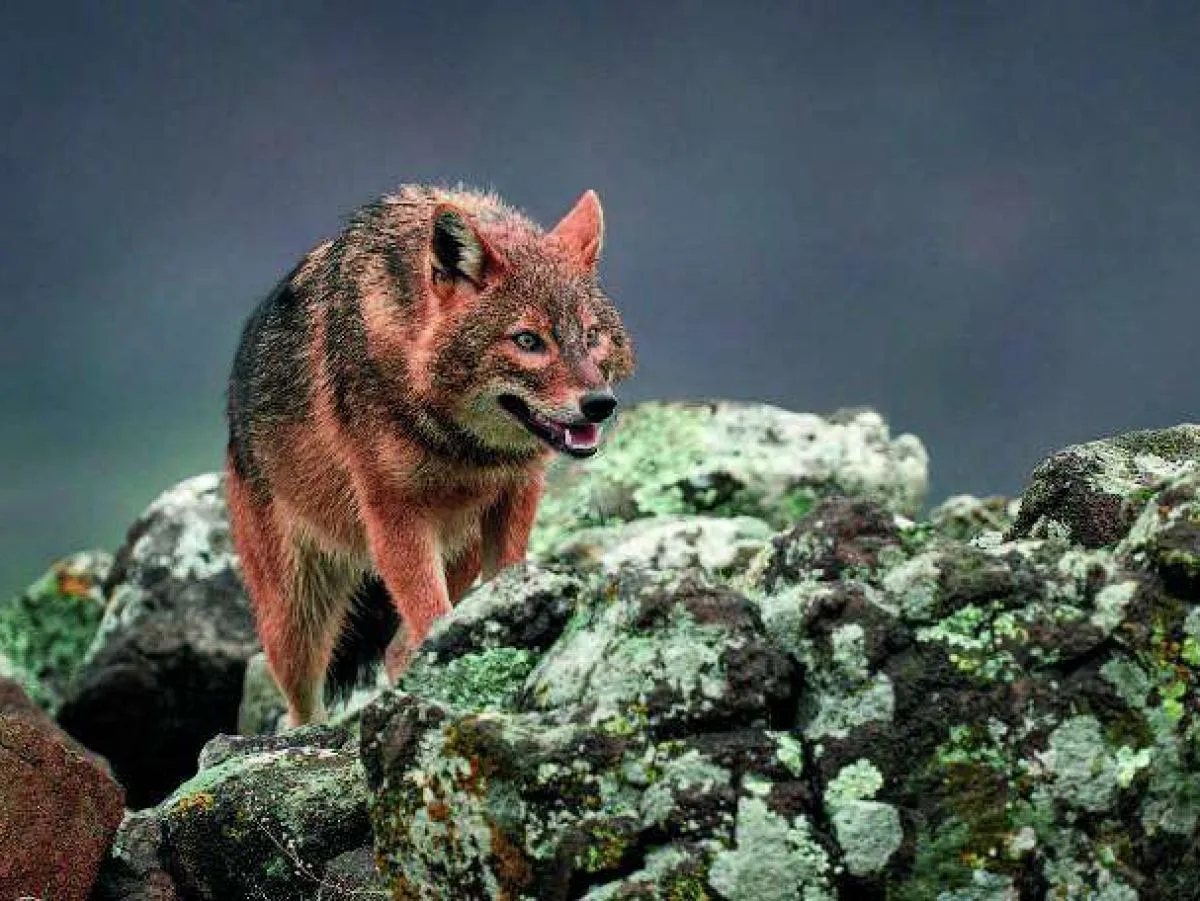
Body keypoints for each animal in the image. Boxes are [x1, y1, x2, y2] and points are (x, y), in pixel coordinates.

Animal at [225, 185, 634, 725]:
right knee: (301, 706)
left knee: (396, 650)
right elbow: (431, 615)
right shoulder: (395, 514)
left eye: (591, 336)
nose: (600, 404)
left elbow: (498, 583)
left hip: (458, 553)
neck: (461, 446)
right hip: (293, 622)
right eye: (528, 340)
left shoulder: (517, 495)